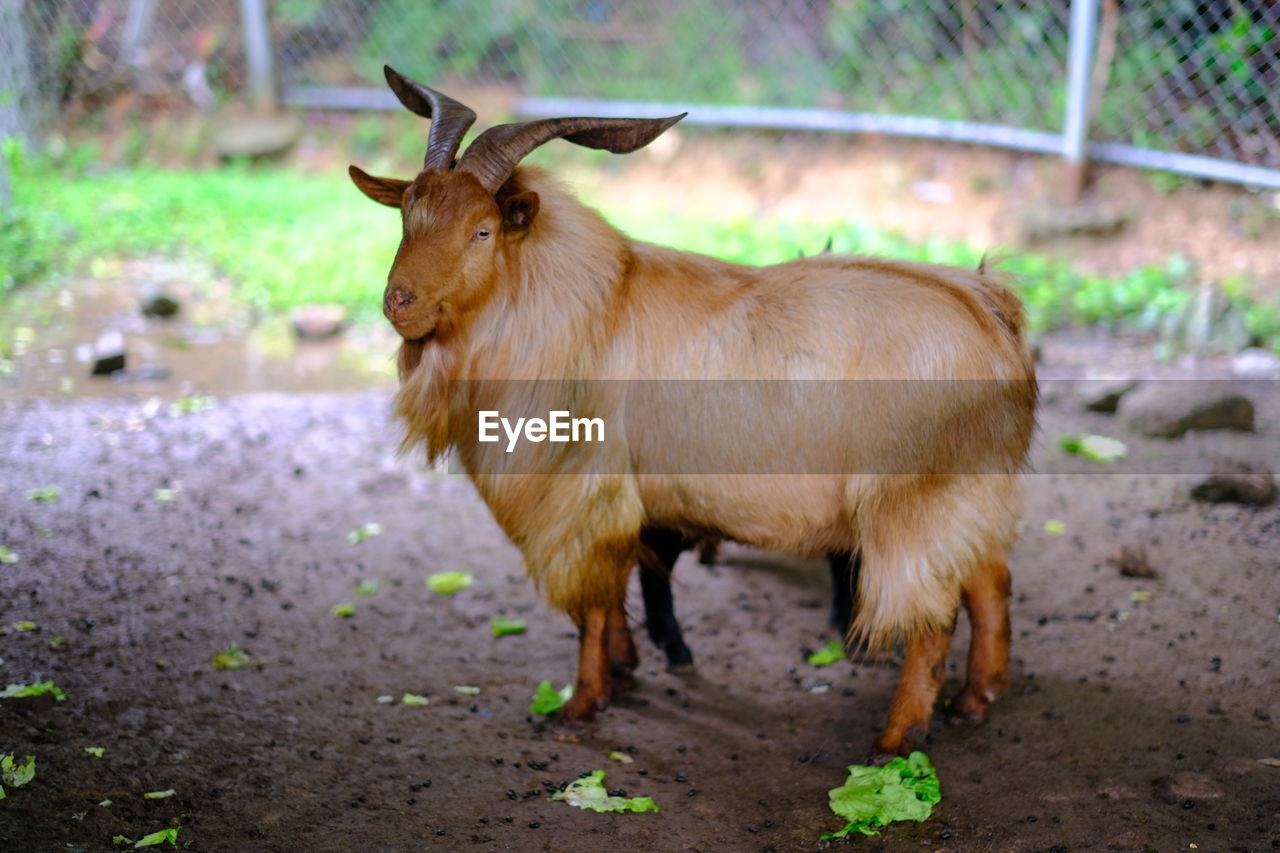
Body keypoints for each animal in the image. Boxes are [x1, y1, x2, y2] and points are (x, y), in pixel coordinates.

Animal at [353, 68, 1039, 758]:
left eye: (482, 230)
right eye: (407, 216)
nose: (398, 301)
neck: (580, 311)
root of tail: (990, 307)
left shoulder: (580, 496)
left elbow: (591, 604)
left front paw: (580, 704)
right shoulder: (623, 504)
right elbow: (616, 592)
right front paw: (625, 671)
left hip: (913, 507)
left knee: (933, 617)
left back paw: (897, 739)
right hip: (969, 496)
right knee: (991, 583)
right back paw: (976, 699)